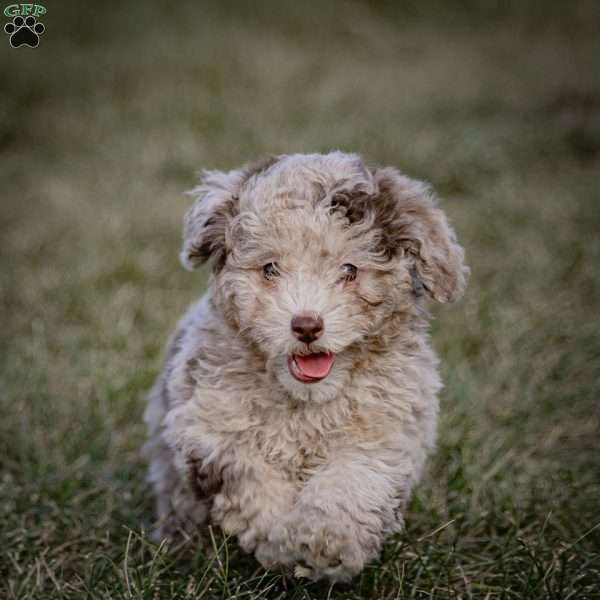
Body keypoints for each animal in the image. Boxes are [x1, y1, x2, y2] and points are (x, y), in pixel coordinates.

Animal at [144, 151, 468, 580]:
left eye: (349, 270)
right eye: (270, 268)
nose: (307, 325)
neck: (305, 402)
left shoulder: (384, 430)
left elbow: (351, 481)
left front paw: (325, 544)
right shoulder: (209, 423)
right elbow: (249, 476)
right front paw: (278, 536)